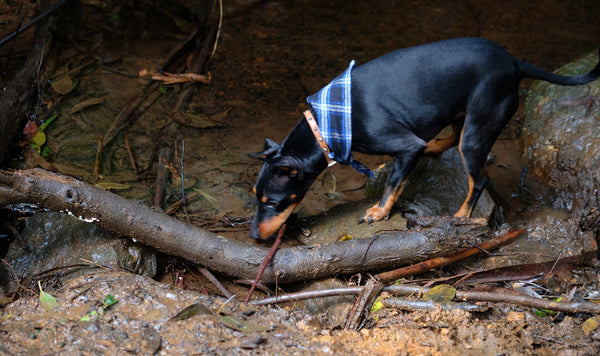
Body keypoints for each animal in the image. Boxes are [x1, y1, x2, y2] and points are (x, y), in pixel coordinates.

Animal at [247, 38, 596, 239]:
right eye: (255, 196)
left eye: (274, 202)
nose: (253, 236)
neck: (328, 122)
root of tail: (514, 62)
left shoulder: (405, 147)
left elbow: (393, 184)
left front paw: (379, 212)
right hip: (458, 110)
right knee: (453, 136)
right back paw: (436, 145)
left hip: (478, 129)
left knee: (479, 178)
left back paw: (461, 217)